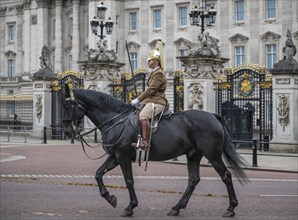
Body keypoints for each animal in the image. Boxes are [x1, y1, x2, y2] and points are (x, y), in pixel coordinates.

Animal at [61, 84, 248, 218]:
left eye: (68, 105)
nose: (67, 131)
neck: (115, 119)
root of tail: (212, 115)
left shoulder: (122, 157)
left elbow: (129, 181)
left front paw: (130, 207)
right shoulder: (114, 157)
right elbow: (98, 174)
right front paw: (110, 198)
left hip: (213, 155)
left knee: (226, 176)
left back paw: (231, 208)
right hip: (193, 155)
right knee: (193, 180)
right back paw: (176, 208)